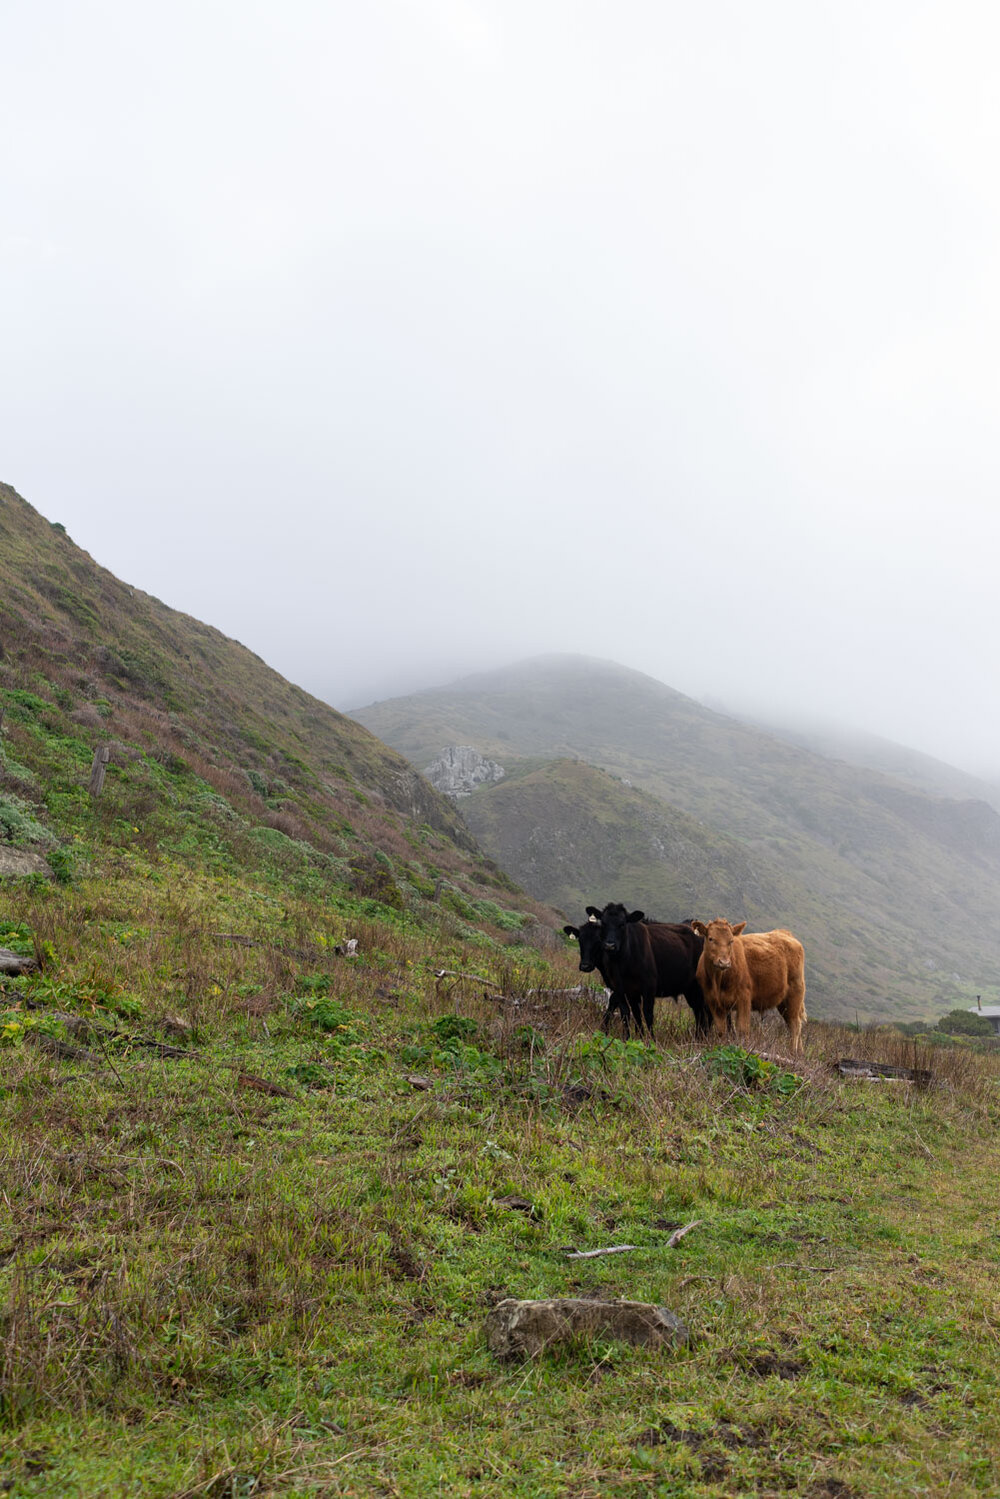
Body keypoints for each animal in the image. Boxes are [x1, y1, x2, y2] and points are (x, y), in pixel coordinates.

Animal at [692, 911, 809, 1055]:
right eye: (711, 939)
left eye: (731, 941)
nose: (724, 962)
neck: (717, 981)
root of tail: (785, 933)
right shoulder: (714, 1003)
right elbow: (721, 1031)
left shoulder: (744, 999)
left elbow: (743, 1030)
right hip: (783, 1002)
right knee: (793, 1025)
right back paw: (800, 1054)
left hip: (795, 994)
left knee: (795, 1025)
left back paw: (792, 1052)